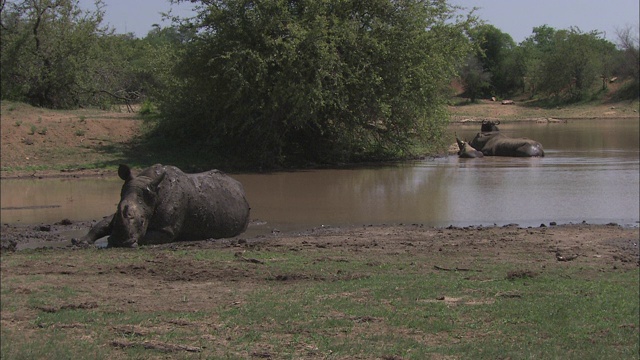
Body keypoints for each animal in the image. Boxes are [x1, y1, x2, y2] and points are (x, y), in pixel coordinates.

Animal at [71, 164, 249, 246]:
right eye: (117, 219)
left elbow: (146, 236)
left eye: (142, 221)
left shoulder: (166, 229)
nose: (119, 242)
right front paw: (79, 241)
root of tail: (239, 187)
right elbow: (102, 223)